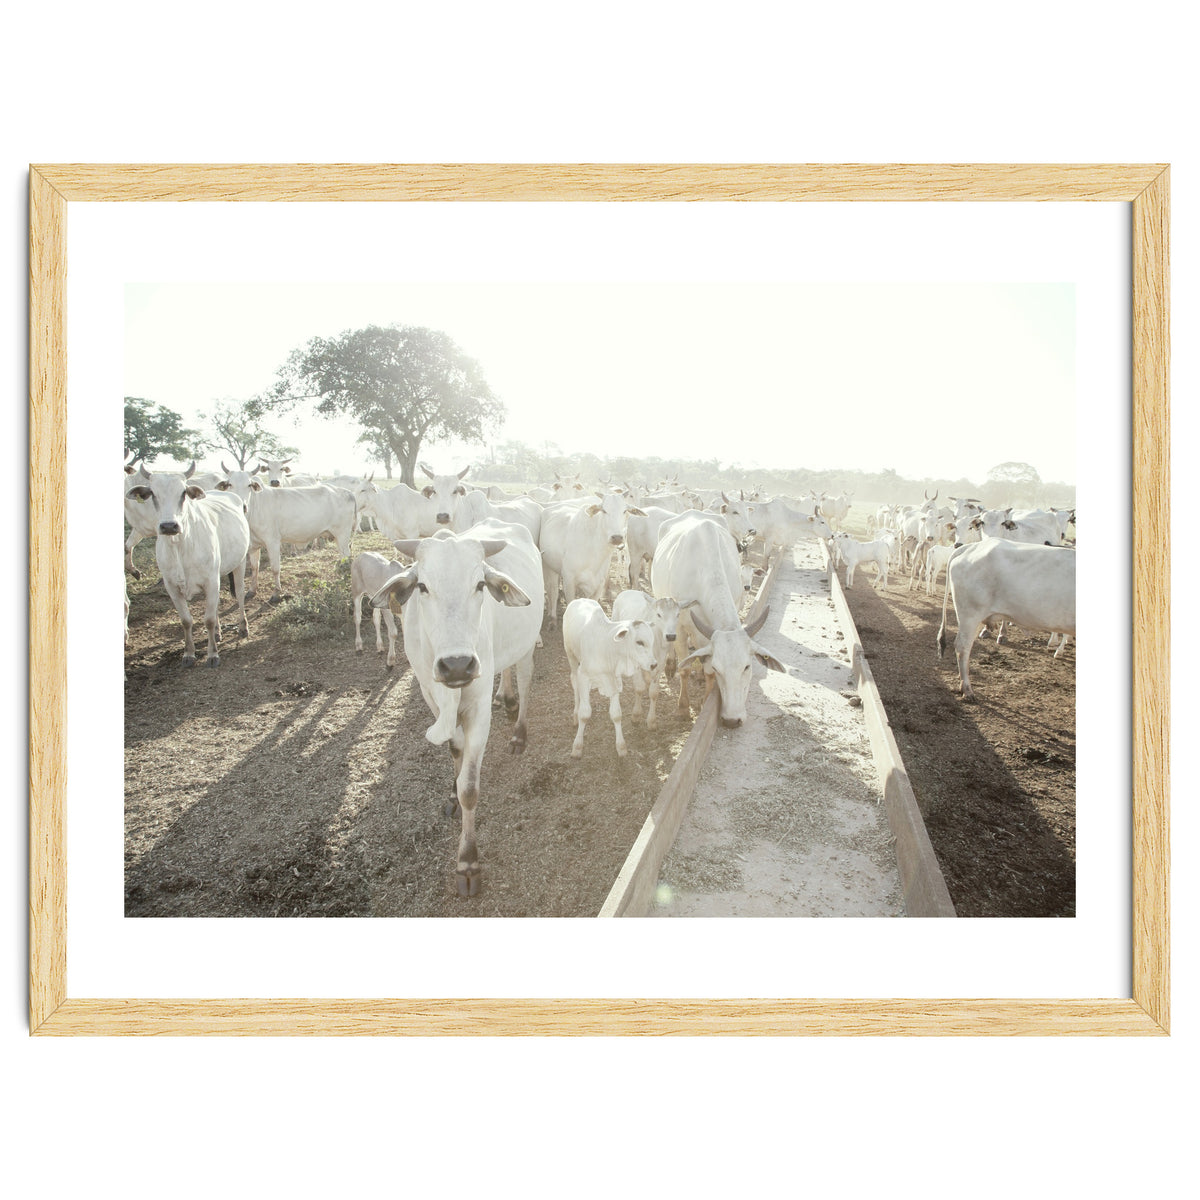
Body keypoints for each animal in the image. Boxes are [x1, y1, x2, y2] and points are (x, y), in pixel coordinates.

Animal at [125, 463, 250, 667]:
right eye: (153, 493)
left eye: (183, 493)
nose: (169, 526)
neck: (179, 547)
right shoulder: (172, 587)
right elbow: (186, 620)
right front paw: (189, 653)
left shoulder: (211, 580)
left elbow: (208, 619)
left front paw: (212, 654)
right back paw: (217, 633)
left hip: (239, 563)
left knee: (239, 594)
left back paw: (242, 627)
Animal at [369, 520, 543, 896]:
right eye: (422, 586)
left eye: (479, 584)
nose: (458, 665)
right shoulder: (430, 694)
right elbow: (454, 750)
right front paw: (450, 789)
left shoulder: (477, 709)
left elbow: (470, 789)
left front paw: (467, 862)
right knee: (504, 669)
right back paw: (507, 699)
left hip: (526, 644)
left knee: (524, 677)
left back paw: (519, 730)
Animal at [562, 598, 657, 757]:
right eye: (639, 642)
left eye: (652, 641)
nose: (654, 664)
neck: (607, 647)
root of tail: (579, 599)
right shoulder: (584, 676)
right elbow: (584, 714)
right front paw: (577, 746)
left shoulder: (614, 681)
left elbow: (616, 714)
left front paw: (621, 747)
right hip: (571, 656)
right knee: (574, 683)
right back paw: (575, 714)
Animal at [651, 512, 786, 727]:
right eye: (719, 667)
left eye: (747, 666)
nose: (732, 720)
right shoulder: (679, 627)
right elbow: (685, 669)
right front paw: (683, 708)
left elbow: (707, 672)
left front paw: (705, 700)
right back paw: (671, 664)